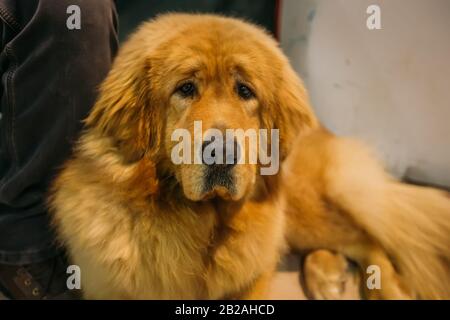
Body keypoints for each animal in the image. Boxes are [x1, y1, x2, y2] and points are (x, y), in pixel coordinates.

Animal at [49, 13, 450, 300]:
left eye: (245, 91)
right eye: (185, 88)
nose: (222, 151)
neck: (200, 226)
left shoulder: (251, 277)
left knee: (367, 235)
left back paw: (383, 288)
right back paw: (326, 274)